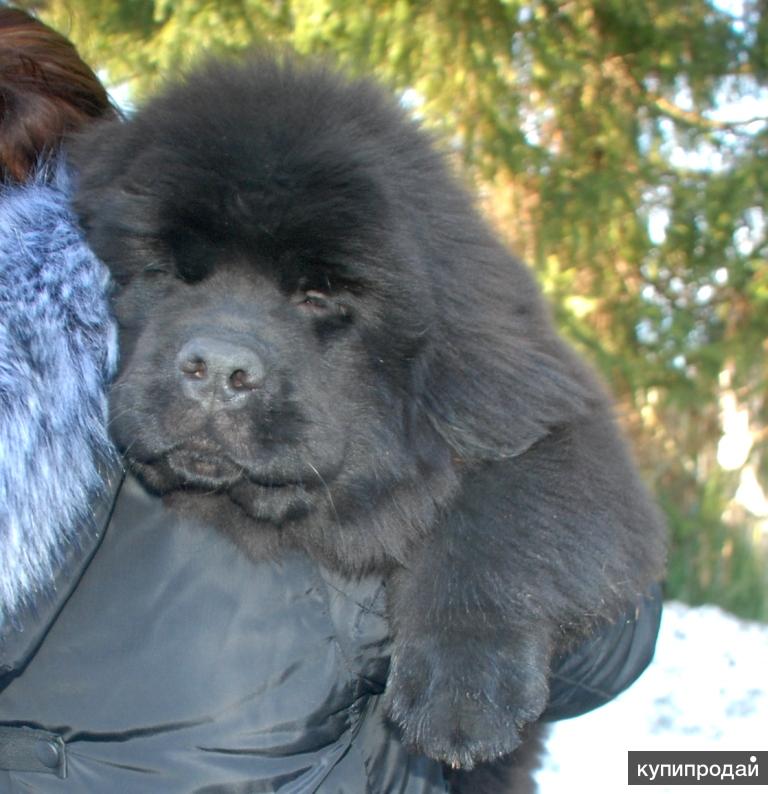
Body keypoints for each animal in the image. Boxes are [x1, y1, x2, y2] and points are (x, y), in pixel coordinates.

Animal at [70, 55, 664, 784]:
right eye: (170, 270)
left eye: (317, 295)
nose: (218, 367)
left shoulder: (550, 414)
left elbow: (506, 509)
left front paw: (463, 690)